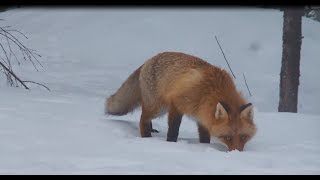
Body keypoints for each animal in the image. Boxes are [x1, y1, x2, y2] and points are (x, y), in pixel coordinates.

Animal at [105, 51, 258, 151]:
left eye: (243, 137)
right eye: (227, 137)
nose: (236, 153)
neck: (210, 91)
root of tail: (148, 60)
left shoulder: (202, 116)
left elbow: (204, 136)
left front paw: (204, 147)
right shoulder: (177, 104)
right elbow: (173, 129)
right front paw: (171, 144)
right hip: (158, 108)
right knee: (143, 119)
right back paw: (147, 137)